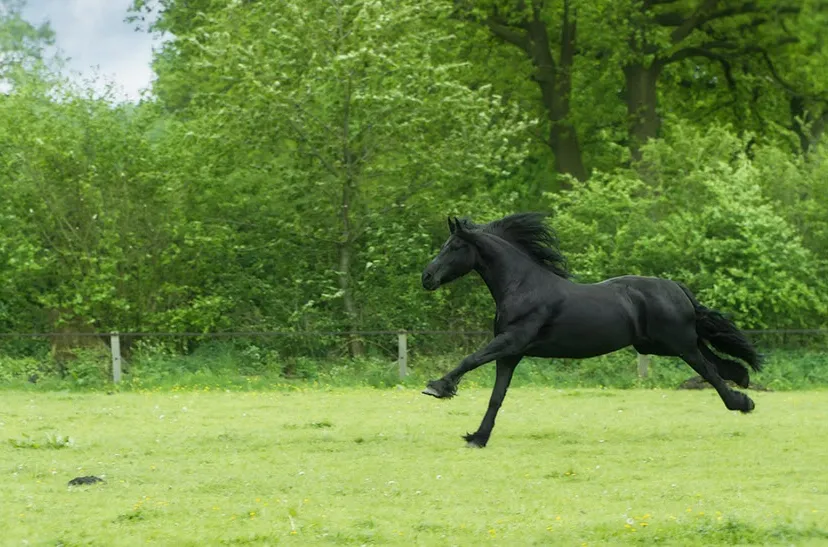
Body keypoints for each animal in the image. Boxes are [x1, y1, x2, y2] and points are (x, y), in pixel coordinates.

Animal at [420, 212, 762, 448]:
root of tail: (676, 288)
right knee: (716, 362)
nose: (426, 277)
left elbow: (471, 359)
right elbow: (496, 396)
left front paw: (438, 387)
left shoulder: (511, 341)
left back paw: (741, 402)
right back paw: (743, 381)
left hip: (677, 343)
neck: (522, 286)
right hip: (659, 345)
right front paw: (478, 437)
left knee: (709, 370)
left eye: (454, 246)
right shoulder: (511, 353)